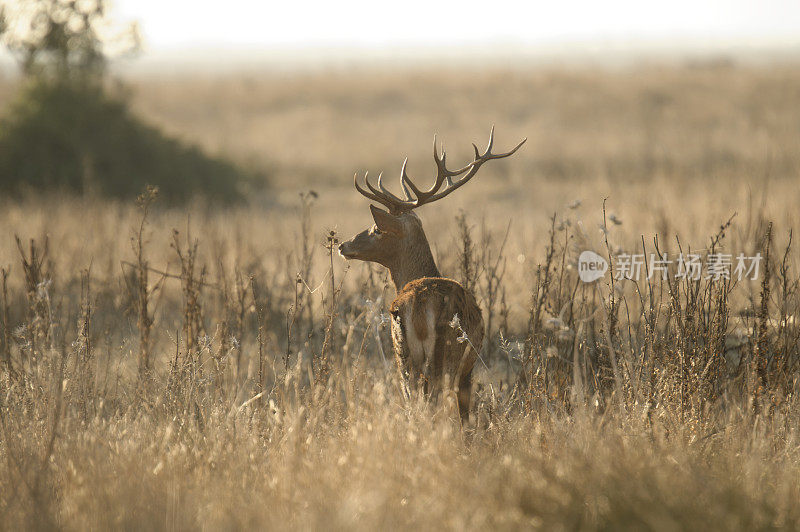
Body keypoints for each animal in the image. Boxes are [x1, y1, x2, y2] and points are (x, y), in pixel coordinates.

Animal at [338, 127, 524, 422]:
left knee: (416, 401)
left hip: (406, 357)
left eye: (377, 229)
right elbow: (465, 417)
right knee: (431, 402)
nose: (343, 245)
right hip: (442, 354)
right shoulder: (468, 368)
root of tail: (418, 302)